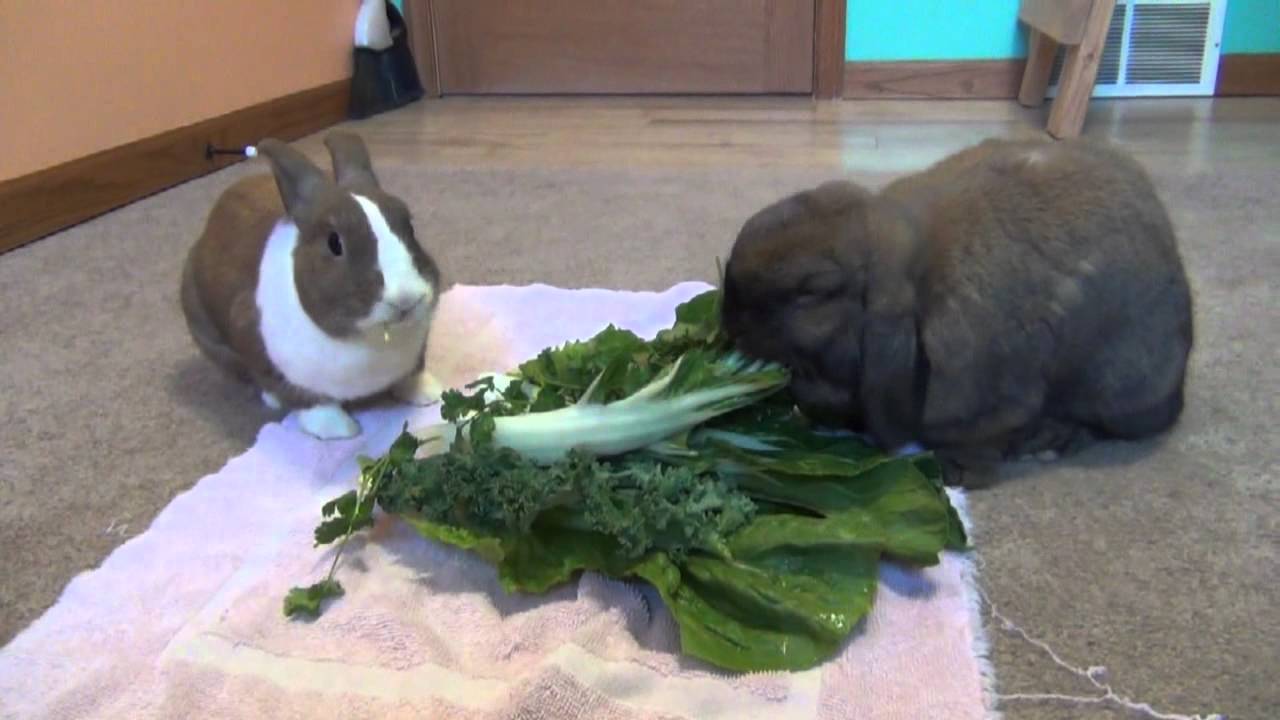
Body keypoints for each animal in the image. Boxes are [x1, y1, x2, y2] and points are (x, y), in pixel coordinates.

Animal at [180, 131, 444, 440]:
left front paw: (429, 393)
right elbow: (308, 400)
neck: (368, 337)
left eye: (409, 226)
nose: (406, 298)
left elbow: (413, 374)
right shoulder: (256, 344)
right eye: (334, 243)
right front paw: (340, 429)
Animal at [720, 136, 1194, 486]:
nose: (728, 317)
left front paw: (956, 473)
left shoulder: (999, 406)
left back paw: (1050, 439)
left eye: (812, 291)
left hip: (1122, 385)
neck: (916, 276)